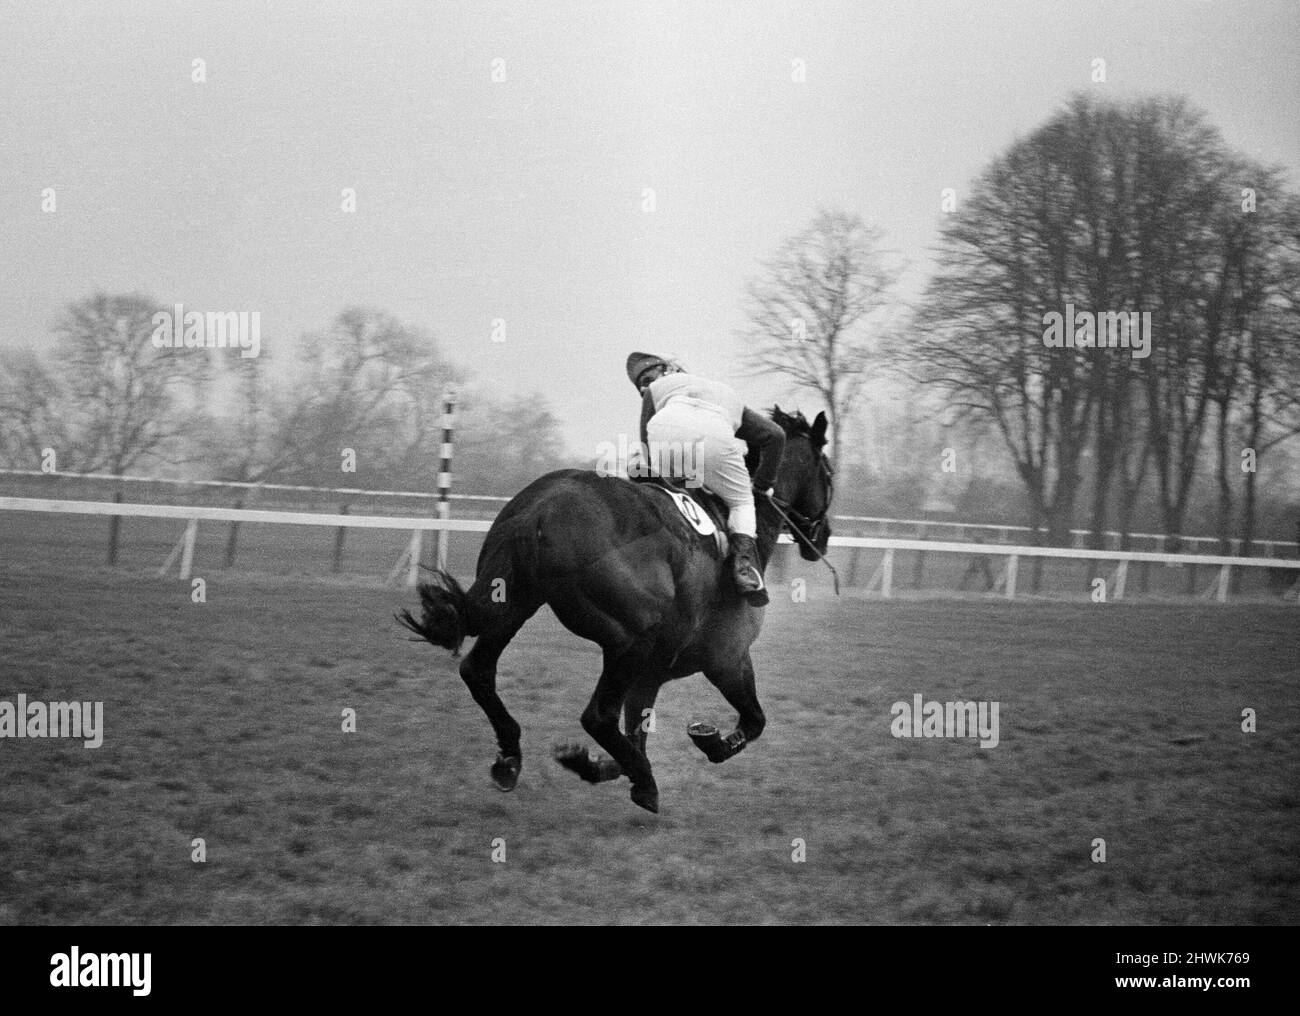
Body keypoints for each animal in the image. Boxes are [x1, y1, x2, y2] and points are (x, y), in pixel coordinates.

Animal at [395, 410, 837, 815]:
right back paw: (647, 784)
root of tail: (540, 510)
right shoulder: (727, 658)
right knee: (597, 717)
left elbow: (636, 735)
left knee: (478, 671)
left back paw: (510, 759)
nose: (824, 536)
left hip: (515, 605)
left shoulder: (652, 675)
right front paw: (708, 741)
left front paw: (588, 762)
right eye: (829, 473)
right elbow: (754, 721)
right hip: (631, 639)